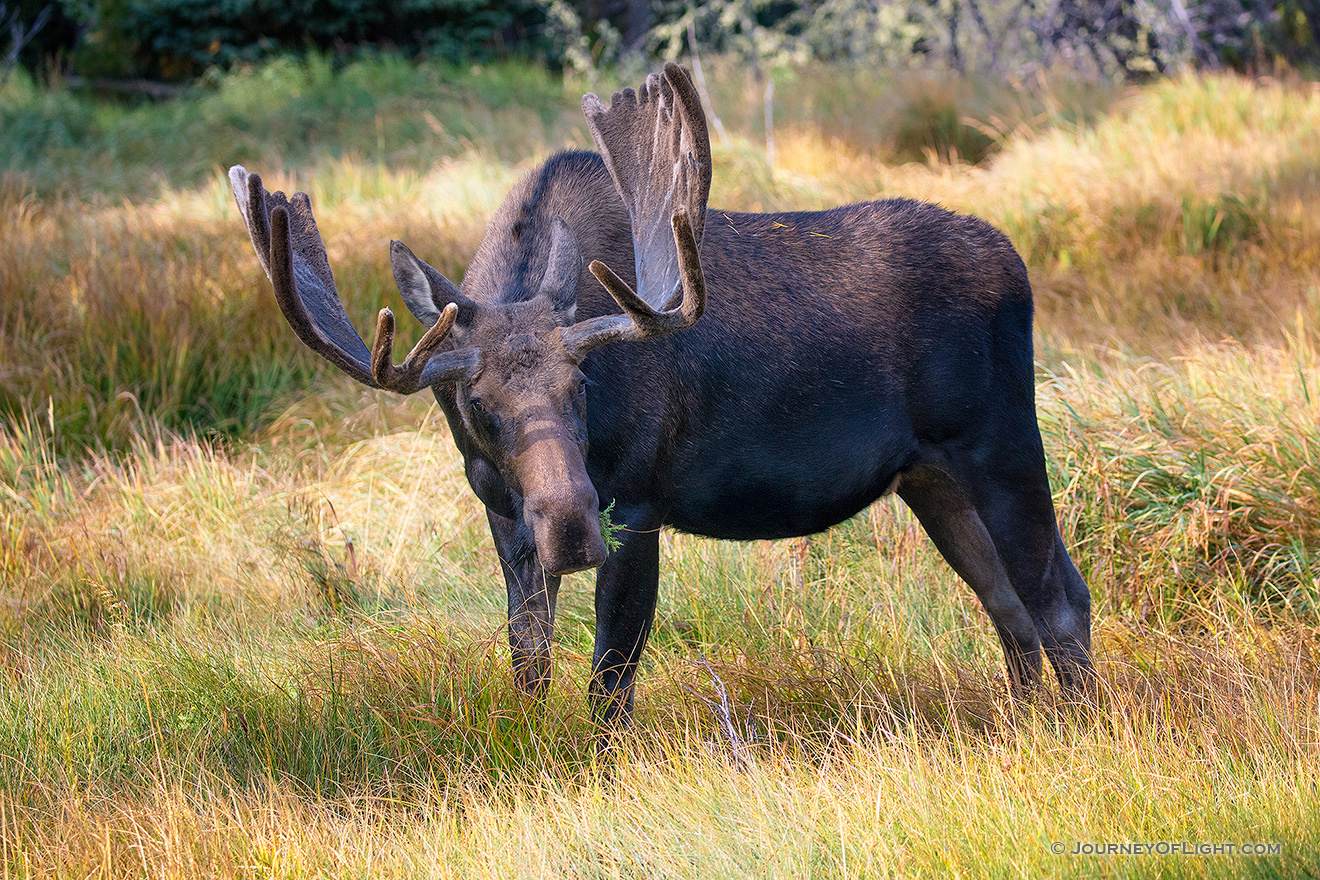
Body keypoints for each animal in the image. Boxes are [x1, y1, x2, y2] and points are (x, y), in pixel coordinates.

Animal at [227, 63, 1092, 728]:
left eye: (582, 383)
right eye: (477, 406)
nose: (572, 523)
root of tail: (1018, 268)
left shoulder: (640, 501)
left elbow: (610, 686)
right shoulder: (501, 514)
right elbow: (530, 668)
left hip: (1001, 444)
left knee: (1059, 599)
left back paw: (1077, 734)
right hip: (929, 477)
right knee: (1009, 608)